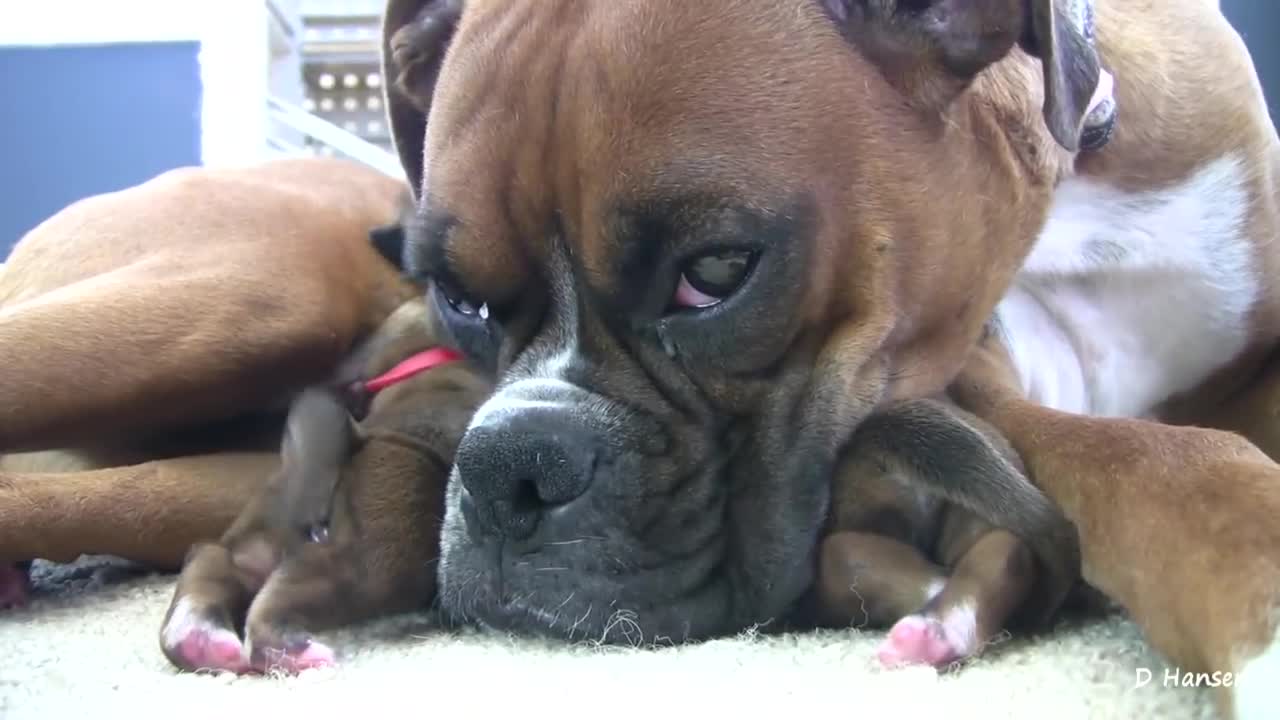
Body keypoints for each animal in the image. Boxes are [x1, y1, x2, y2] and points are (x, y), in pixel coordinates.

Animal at [162, 293, 491, 671]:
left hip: (253, 541)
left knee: (210, 559)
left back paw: (198, 637)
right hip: (368, 563)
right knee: (270, 616)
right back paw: (299, 652)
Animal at [381, 2, 1280, 712]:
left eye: (716, 272)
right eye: (457, 299)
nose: (507, 467)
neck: (1074, 183)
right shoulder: (996, 399)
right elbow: (1153, 460)